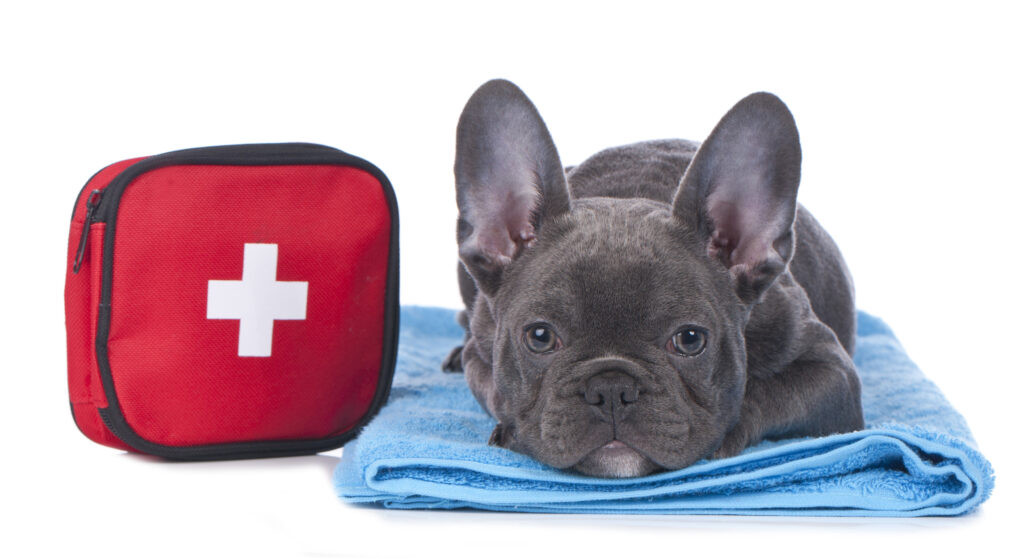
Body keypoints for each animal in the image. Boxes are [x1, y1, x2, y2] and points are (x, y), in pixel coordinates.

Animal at [446, 78, 864, 477]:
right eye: (539, 336)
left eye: (690, 339)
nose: (611, 389)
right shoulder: (480, 355)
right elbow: (494, 391)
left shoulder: (833, 376)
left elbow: (761, 393)